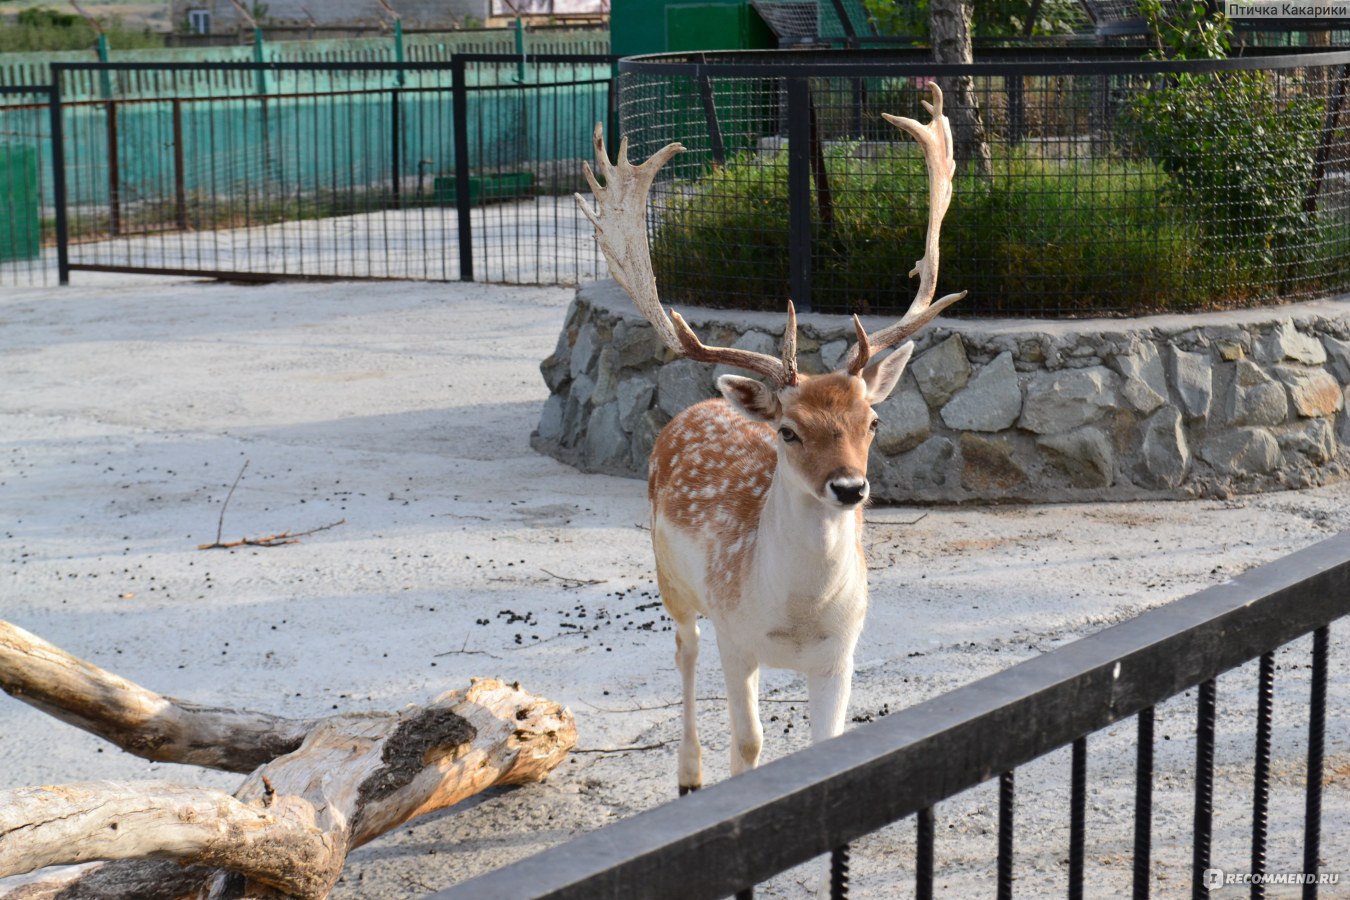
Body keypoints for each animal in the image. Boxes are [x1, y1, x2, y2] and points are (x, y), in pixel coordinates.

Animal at [575, 84, 966, 798]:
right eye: (788, 431)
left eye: (871, 422)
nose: (850, 486)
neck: (797, 617)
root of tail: (700, 405)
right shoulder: (737, 637)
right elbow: (749, 743)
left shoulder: (841, 654)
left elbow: (827, 746)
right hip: (670, 578)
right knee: (683, 652)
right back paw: (688, 774)